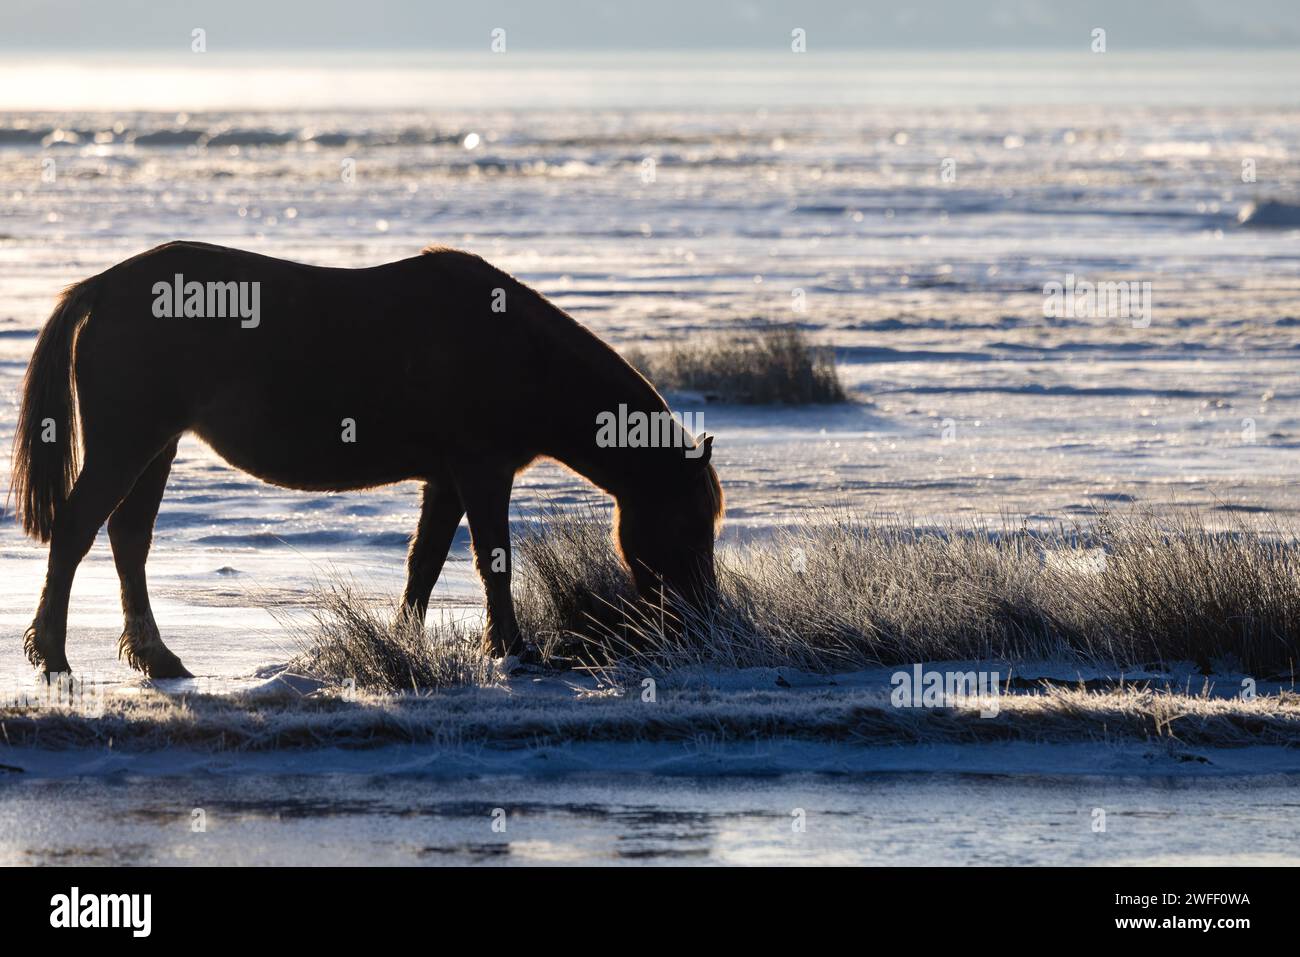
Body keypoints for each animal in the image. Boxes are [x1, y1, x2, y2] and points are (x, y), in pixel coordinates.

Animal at [10, 244, 722, 681]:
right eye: (689, 523)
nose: (702, 624)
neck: (517, 349)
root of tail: (101, 289)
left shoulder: (447, 479)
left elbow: (424, 565)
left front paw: (408, 642)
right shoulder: (482, 471)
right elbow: (492, 562)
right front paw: (514, 651)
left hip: (156, 447)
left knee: (129, 538)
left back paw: (156, 657)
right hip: (127, 443)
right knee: (76, 532)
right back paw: (53, 654)